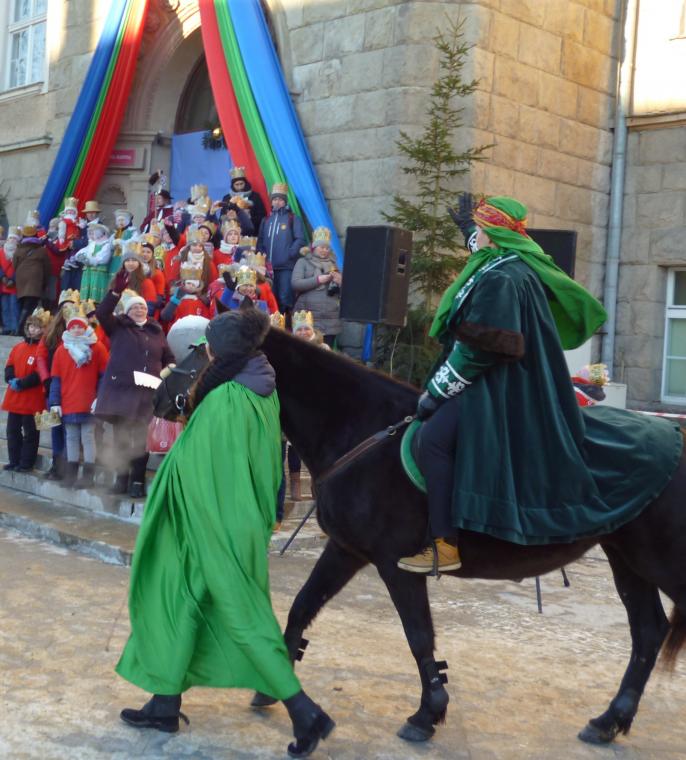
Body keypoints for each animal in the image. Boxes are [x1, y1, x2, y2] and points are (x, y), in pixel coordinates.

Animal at [156, 325, 686, 747]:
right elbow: (303, 607)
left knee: (651, 630)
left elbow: (418, 635)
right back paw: (608, 721)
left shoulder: (396, 563)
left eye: (196, 351)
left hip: (658, 558)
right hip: (627, 558)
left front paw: (427, 714)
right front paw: (273, 686)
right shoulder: (347, 551)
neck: (361, 429)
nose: (160, 397)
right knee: (647, 633)